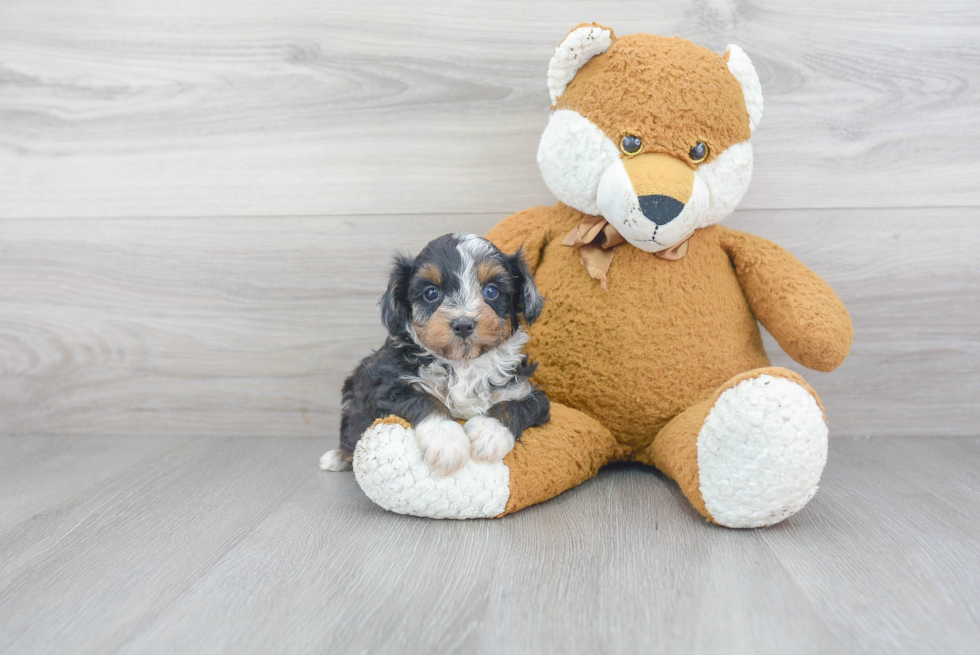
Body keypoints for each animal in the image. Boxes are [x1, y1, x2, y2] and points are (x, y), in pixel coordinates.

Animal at [322, 234, 552, 476]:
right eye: (431, 293)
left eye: (491, 291)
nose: (463, 324)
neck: (463, 364)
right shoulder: (384, 389)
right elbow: (424, 399)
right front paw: (447, 441)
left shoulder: (529, 392)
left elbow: (516, 405)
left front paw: (489, 433)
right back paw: (336, 457)